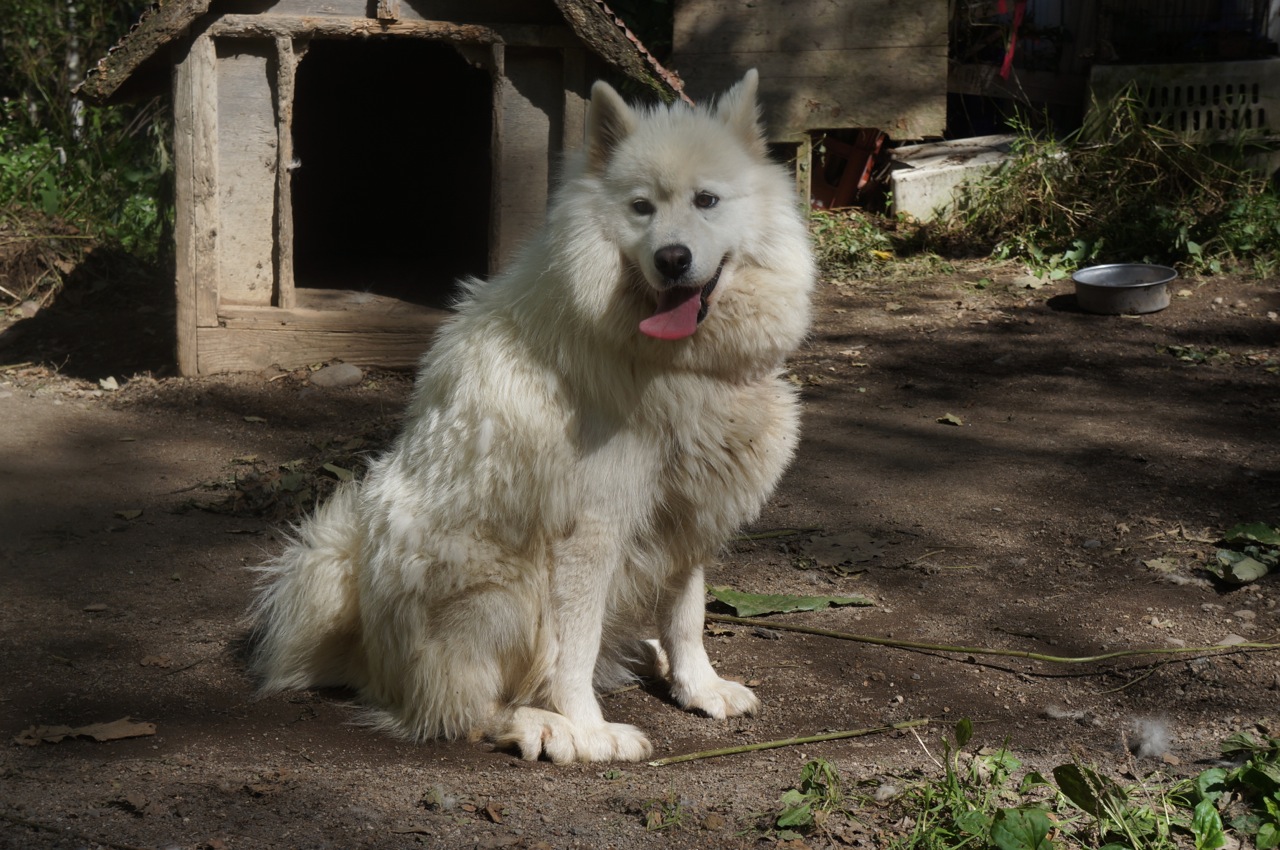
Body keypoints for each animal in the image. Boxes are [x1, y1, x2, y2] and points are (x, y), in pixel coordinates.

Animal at [244, 71, 814, 762]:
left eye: (707, 200)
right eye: (641, 208)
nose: (673, 258)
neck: (671, 364)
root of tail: (362, 649)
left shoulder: (687, 514)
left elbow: (688, 614)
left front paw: (697, 688)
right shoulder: (591, 532)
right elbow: (574, 650)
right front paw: (591, 730)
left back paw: (640, 658)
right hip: (500, 588)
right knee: (461, 708)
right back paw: (540, 726)